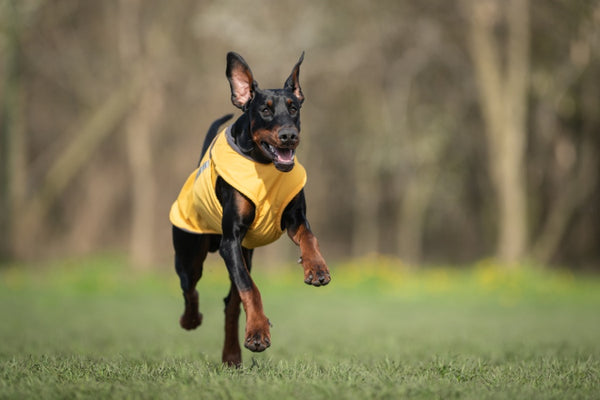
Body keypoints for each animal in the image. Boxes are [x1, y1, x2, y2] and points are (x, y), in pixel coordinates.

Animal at [169, 52, 330, 366]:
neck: (264, 166)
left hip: (246, 252)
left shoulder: (294, 218)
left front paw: (316, 268)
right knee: (190, 286)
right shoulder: (230, 240)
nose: (289, 135)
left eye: (293, 108)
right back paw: (190, 320)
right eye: (265, 111)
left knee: (229, 304)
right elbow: (249, 288)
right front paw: (258, 333)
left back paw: (232, 354)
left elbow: (308, 236)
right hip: (190, 251)